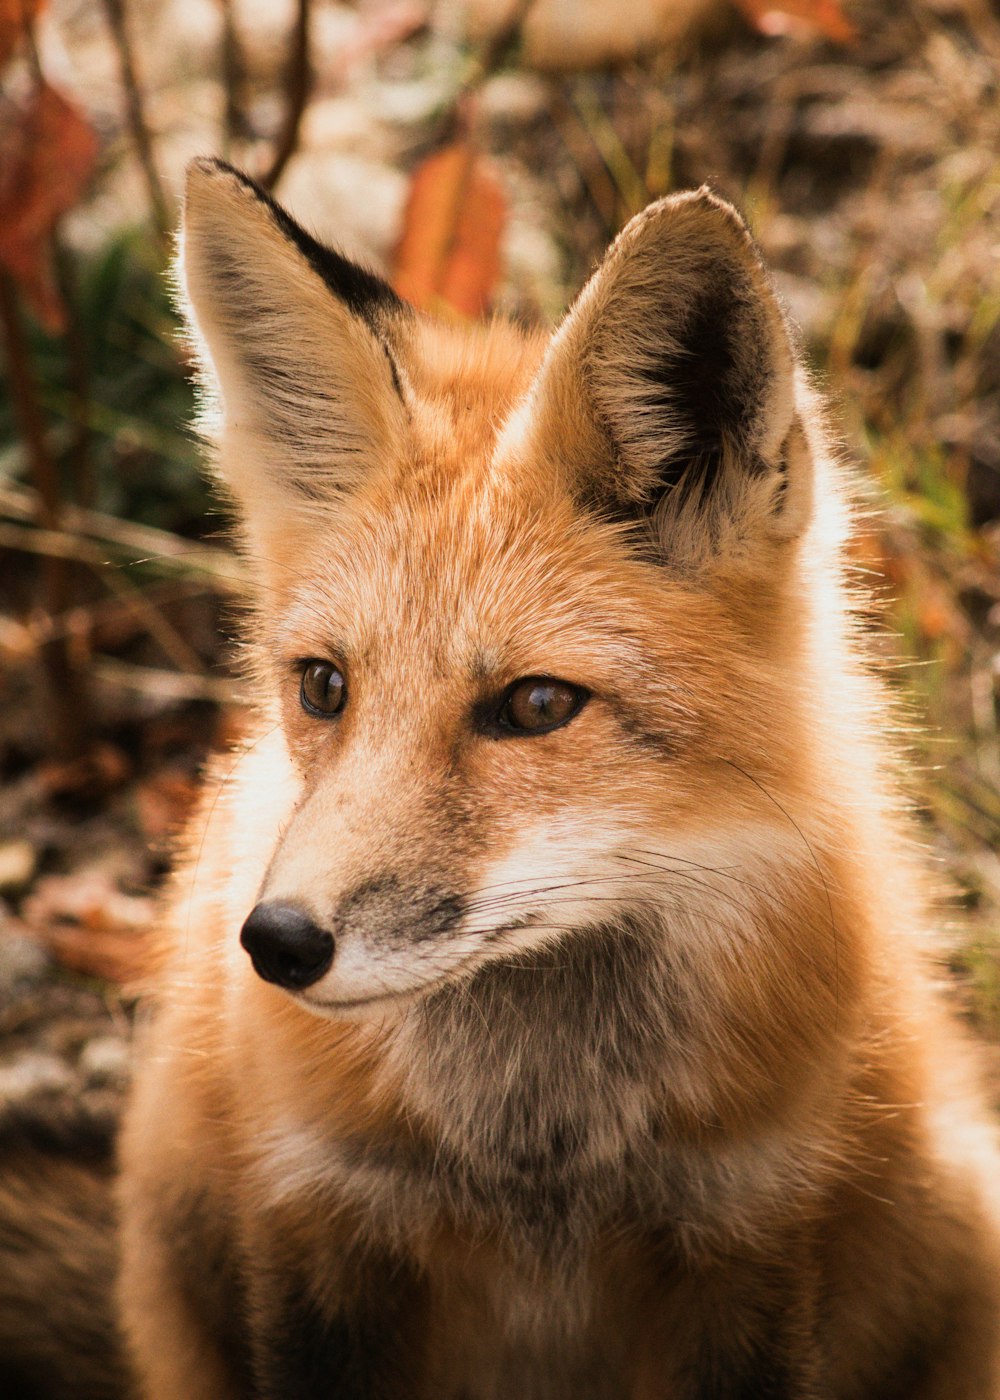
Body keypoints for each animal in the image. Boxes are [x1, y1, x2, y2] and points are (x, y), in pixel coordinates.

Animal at [114, 158, 997, 1394]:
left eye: (536, 706)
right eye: (325, 686)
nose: (277, 943)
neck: (538, 1164)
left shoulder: (749, 1233)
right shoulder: (318, 1222)